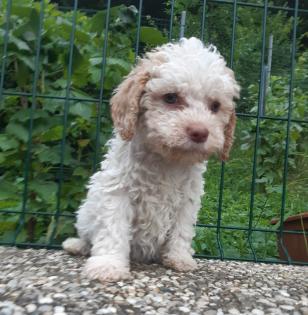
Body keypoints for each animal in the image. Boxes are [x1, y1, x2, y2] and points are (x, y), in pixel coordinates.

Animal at [63, 37, 241, 284]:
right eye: (170, 97)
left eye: (215, 106)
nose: (199, 132)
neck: (166, 159)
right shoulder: (117, 191)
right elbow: (113, 228)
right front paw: (108, 265)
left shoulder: (188, 199)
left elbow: (182, 230)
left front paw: (179, 258)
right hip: (85, 214)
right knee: (86, 236)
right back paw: (76, 245)